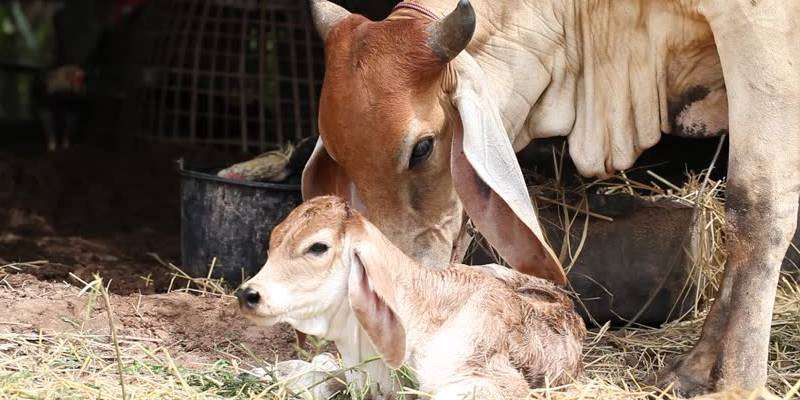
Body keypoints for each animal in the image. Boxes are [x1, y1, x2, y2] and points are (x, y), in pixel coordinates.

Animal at [303, 0, 800, 395]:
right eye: (338, 155)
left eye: (422, 148)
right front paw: (694, 370)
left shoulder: (759, 28)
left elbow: (756, 210)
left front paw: (738, 384)